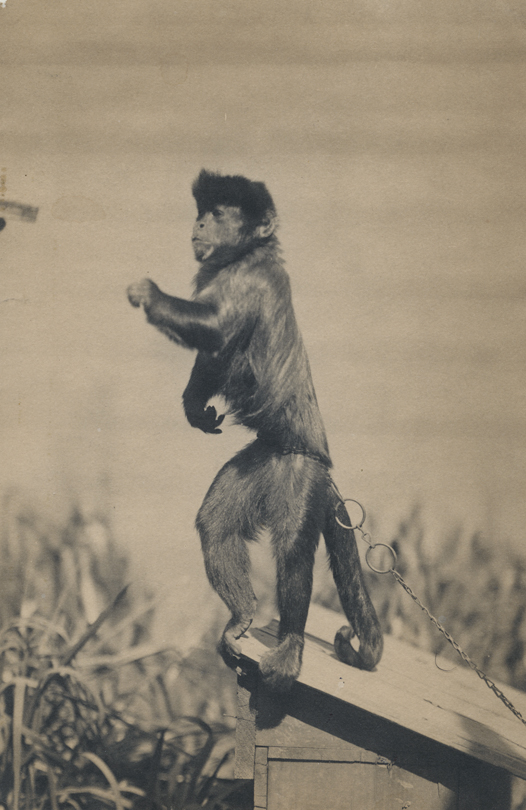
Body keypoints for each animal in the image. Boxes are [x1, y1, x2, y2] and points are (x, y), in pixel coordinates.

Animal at [127, 170, 383, 691]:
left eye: (219, 213)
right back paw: (243, 612)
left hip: (299, 473)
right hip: (260, 460)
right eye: (204, 211)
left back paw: (290, 643)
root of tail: (310, 456)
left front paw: (152, 295)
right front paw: (195, 408)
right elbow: (214, 352)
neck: (243, 256)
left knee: (292, 551)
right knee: (216, 522)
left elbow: (216, 330)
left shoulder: (254, 278)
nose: (200, 223)